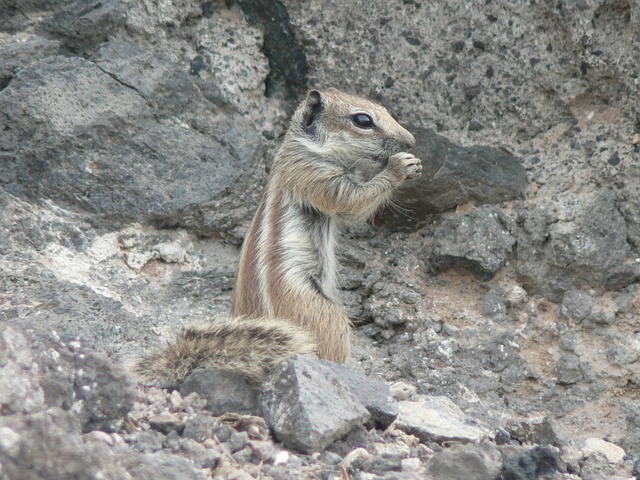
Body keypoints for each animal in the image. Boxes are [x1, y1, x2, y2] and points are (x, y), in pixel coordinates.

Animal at [136, 87, 420, 386]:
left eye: (384, 110)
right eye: (363, 120)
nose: (411, 141)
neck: (306, 148)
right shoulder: (312, 175)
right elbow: (352, 201)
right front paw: (400, 167)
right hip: (321, 313)